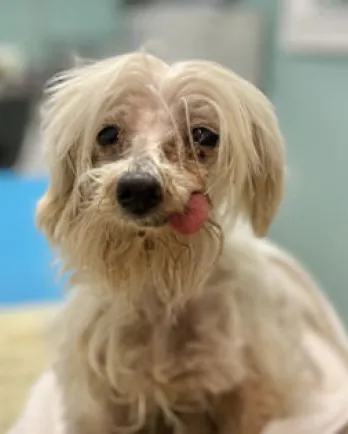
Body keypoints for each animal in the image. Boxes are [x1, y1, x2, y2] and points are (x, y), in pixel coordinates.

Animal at [8, 52, 348, 432]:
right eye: (107, 133)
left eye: (203, 135)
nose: (139, 187)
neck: (161, 288)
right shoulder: (97, 402)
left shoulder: (252, 387)